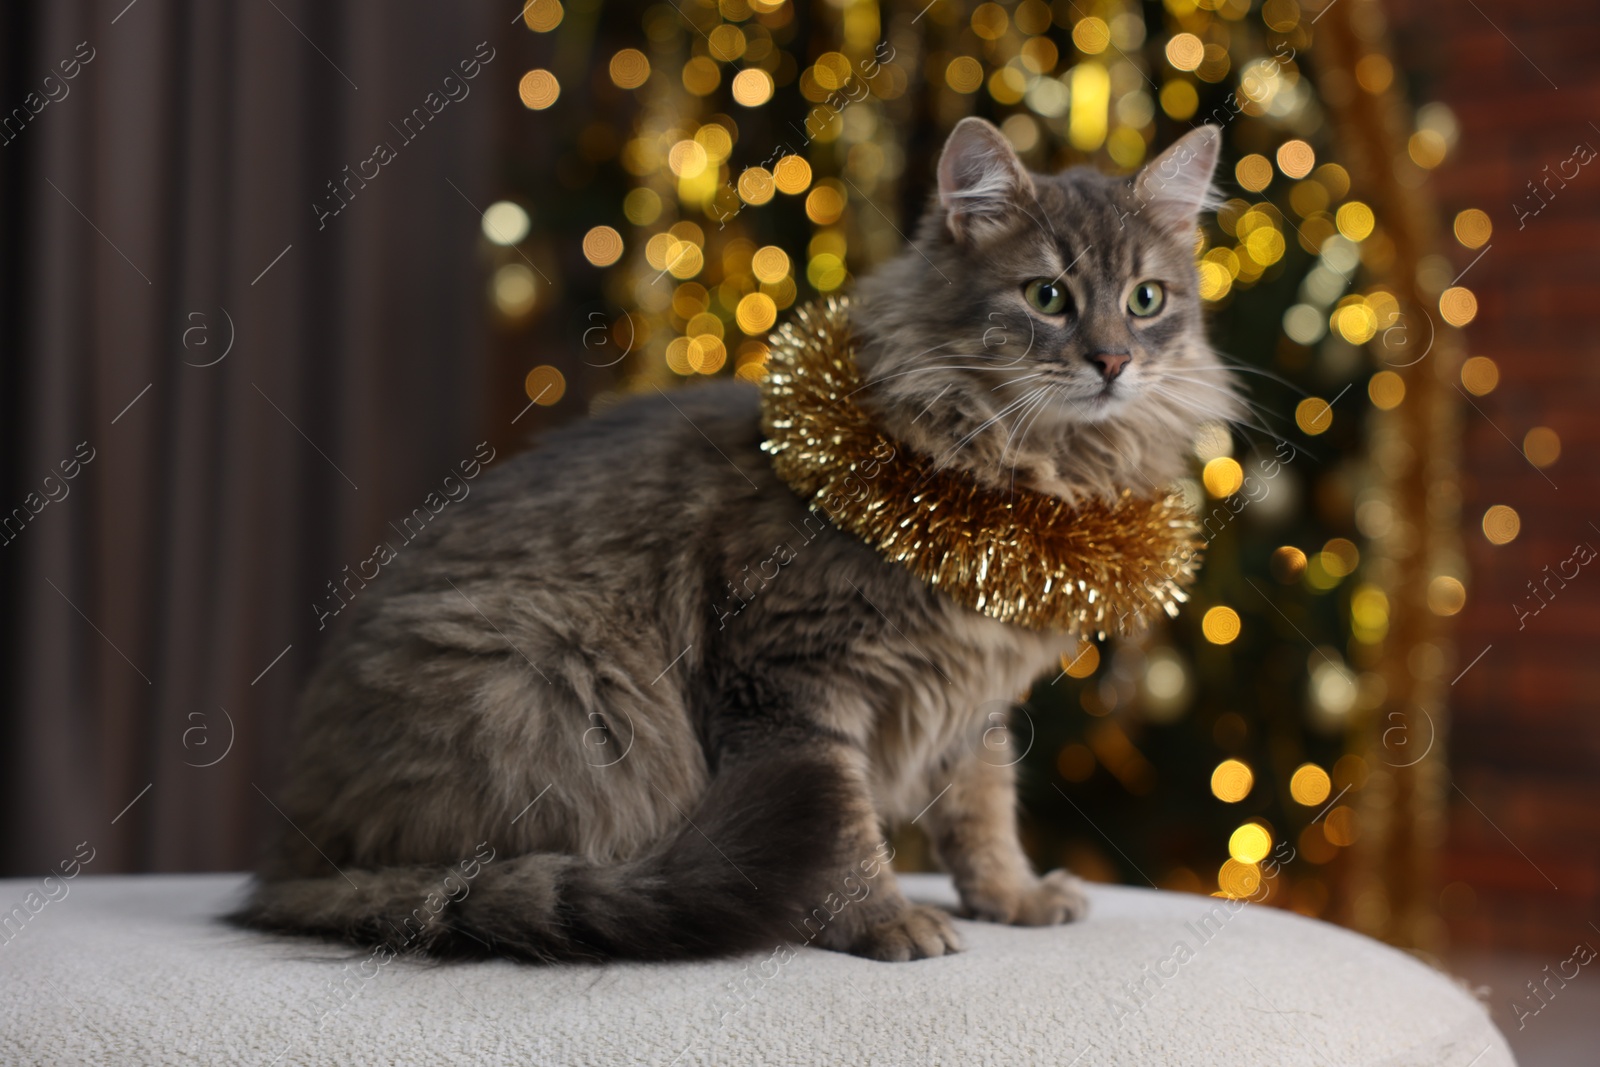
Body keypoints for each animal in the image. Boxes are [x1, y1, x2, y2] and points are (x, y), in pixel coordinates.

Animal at [233, 120, 1235, 966]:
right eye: (1047, 297)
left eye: (1147, 300)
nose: (1114, 360)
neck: (1019, 484)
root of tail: (290, 857)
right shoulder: (791, 679)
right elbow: (846, 829)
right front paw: (884, 921)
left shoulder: (973, 702)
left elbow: (984, 810)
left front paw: (1012, 897)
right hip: (546, 678)